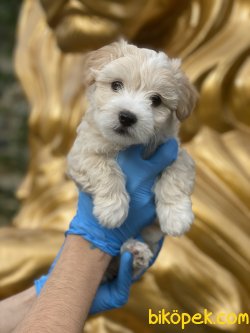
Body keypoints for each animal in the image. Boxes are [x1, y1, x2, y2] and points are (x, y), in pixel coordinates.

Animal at [67, 40, 198, 276]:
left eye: (156, 100)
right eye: (116, 85)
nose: (127, 116)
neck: (128, 145)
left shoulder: (175, 151)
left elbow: (177, 173)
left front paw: (176, 216)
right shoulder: (82, 153)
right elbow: (105, 168)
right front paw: (113, 208)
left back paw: (136, 254)